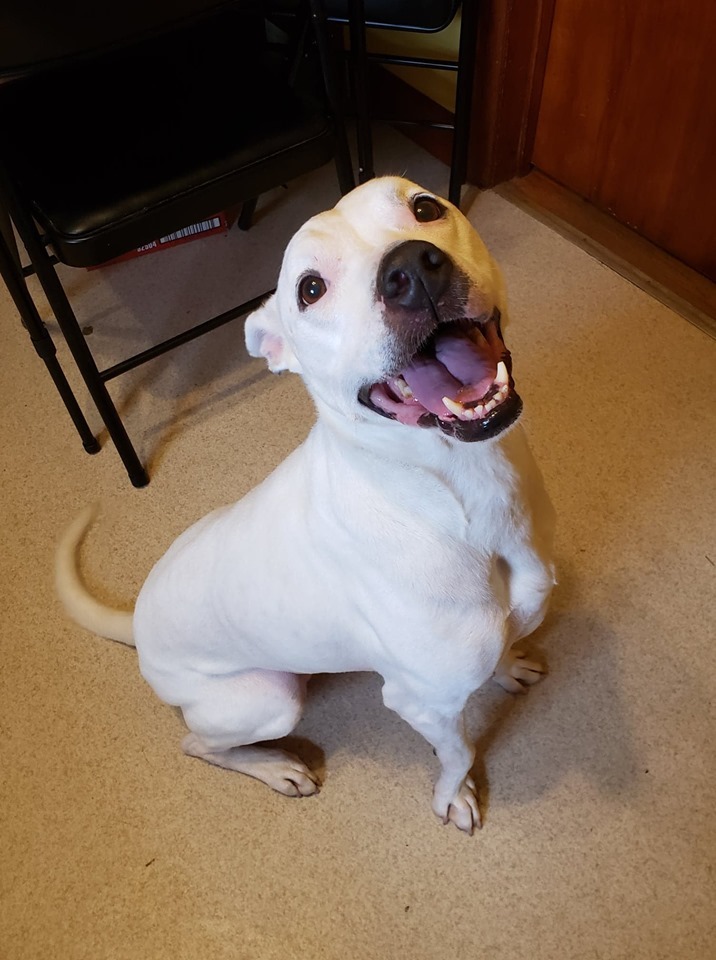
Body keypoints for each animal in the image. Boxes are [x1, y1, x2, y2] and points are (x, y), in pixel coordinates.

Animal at [58, 178, 556, 832]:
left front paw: (508, 666)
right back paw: (276, 767)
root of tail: (138, 620)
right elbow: (459, 751)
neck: (461, 490)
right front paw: (455, 795)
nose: (409, 270)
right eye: (310, 289)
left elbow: (500, 653)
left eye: (425, 207)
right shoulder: (421, 701)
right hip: (267, 700)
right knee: (197, 743)